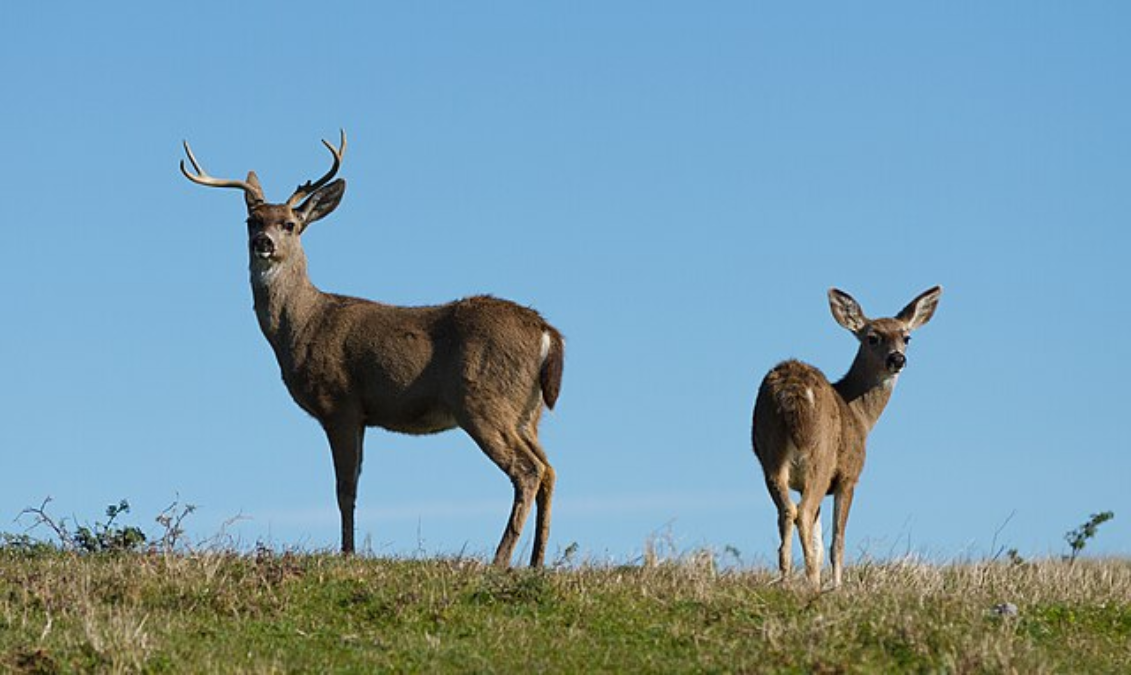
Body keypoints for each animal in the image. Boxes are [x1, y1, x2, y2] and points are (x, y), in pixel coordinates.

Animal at [180, 131, 565, 563]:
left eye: (290, 224)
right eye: (251, 220)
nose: (263, 242)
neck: (304, 324)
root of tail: (546, 332)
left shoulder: (340, 402)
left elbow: (345, 489)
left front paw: (347, 553)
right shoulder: (363, 415)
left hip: (483, 398)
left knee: (528, 470)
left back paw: (499, 560)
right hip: (527, 411)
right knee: (550, 469)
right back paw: (536, 561)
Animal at [750, 287, 945, 587]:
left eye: (906, 337)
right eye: (872, 337)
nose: (897, 359)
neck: (861, 417)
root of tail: (792, 391)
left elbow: (819, 539)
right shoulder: (849, 475)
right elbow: (836, 540)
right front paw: (837, 586)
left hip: (769, 453)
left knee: (787, 511)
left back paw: (786, 580)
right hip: (821, 454)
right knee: (803, 512)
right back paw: (810, 582)